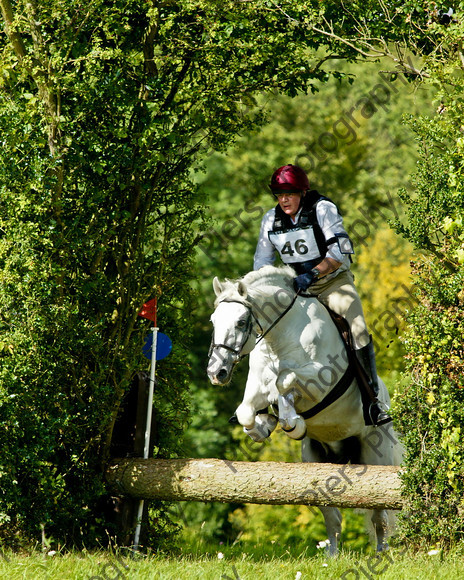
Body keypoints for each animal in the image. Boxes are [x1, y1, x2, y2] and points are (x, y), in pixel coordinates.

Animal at [207, 266, 402, 556]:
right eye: (213, 321)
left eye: (241, 322)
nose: (216, 372)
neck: (281, 336)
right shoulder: (256, 387)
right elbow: (246, 411)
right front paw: (265, 424)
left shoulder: (323, 376)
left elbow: (284, 380)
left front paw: (291, 421)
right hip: (316, 458)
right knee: (332, 515)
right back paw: (332, 556)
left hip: (376, 454)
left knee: (380, 512)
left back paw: (380, 553)